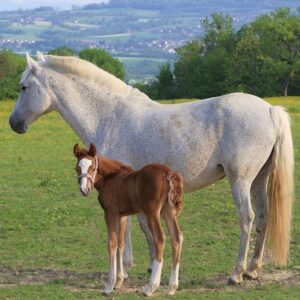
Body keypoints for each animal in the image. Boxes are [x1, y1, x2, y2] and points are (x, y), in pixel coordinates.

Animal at [74, 144, 184, 296]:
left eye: (92, 167)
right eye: (77, 168)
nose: (84, 189)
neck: (110, 179)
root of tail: (168, 173)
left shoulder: (110, 213)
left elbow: (112, 243)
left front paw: (109, 285)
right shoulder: (123, 215)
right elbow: (121, 243)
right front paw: (119, 281)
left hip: (152, 212)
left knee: (160, 239)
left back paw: (150, 287)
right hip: (169, 212)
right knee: (177, 238)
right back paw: (172, 287)